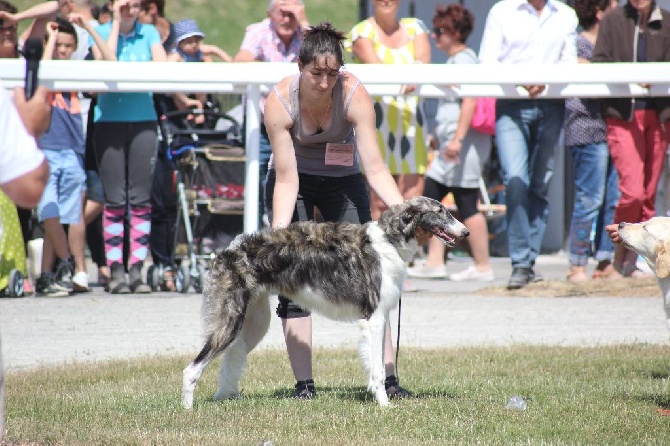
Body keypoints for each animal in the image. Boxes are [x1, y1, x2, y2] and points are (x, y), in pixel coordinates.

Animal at [181, 195, 470, 408]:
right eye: (440, 211)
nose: (466, 232)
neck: (389, 240)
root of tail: (228, 250)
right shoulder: (374, 319)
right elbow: (377, 371)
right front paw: (384, 405)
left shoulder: (379, 317)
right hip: (230, 320)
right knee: (192, 368)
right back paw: (188, 408)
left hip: (254, 321)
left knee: (233, 355)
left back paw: (226, 397)